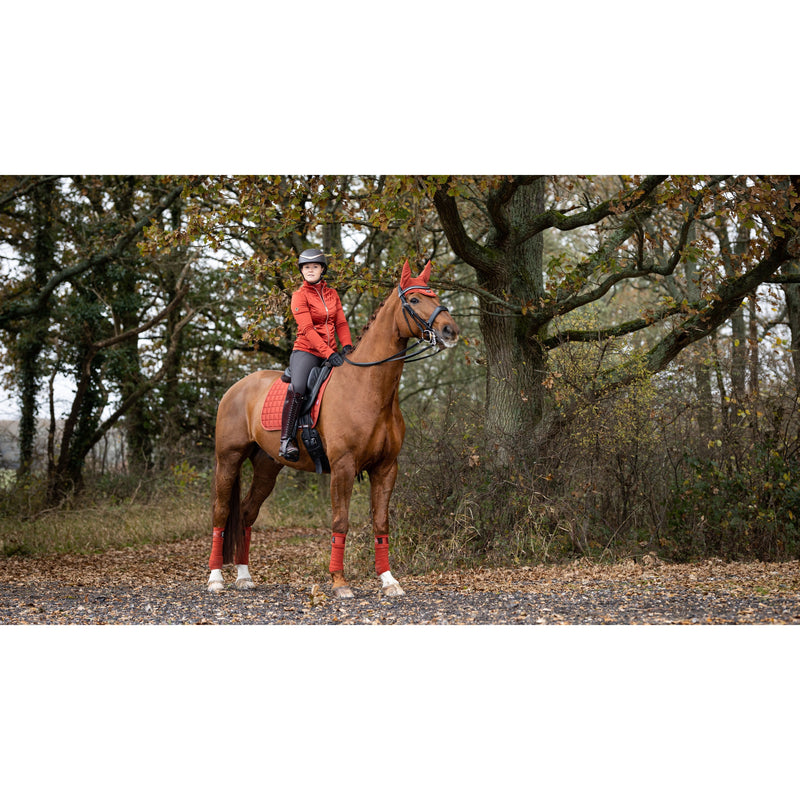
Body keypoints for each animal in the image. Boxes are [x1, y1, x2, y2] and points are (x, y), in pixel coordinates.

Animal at [206, 260, 460, 596]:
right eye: (415, 299)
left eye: (436, 295)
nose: (450, 331)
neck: (369, 388)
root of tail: (236, 389)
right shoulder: (343, 467)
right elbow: (340, 522)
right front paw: (340, 582)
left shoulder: (386, 468)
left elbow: (381, 523)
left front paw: (389, 580)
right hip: (228, 460)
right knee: (221, 513)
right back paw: (215, 579)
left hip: (267, 466)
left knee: (247, 512)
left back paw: (245, 576)